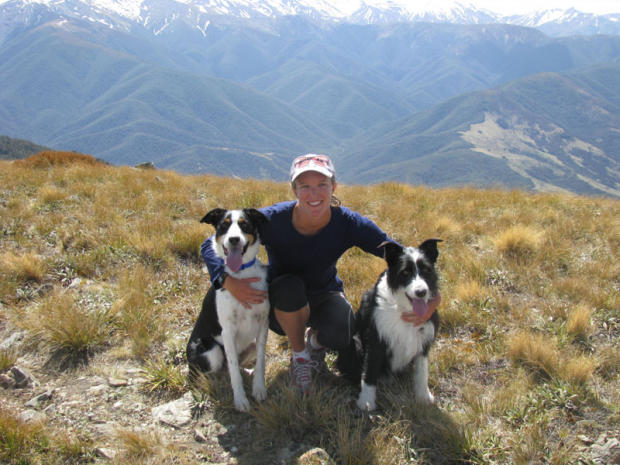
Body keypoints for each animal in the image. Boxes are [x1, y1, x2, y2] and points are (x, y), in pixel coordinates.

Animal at [186, 208, 269, 412]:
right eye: (224, 225)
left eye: (244, 224)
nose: (233, 240)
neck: (242, 273)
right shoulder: (228, 331)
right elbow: (233, 370)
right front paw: (240, 399)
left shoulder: (263, 324)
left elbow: (261, 362)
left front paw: (258, 388)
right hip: (212, 352)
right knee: (214, 373)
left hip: (250, 344)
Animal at [338, 239, 441, 411]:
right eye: (405, 272)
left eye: (426, 270)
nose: (421, 292)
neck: (403, 308)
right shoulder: (376, 339)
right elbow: (369, 372)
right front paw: (366, 402)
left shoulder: (423, 340)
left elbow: (422, 372)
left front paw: (423, 397)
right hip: (355, 344)